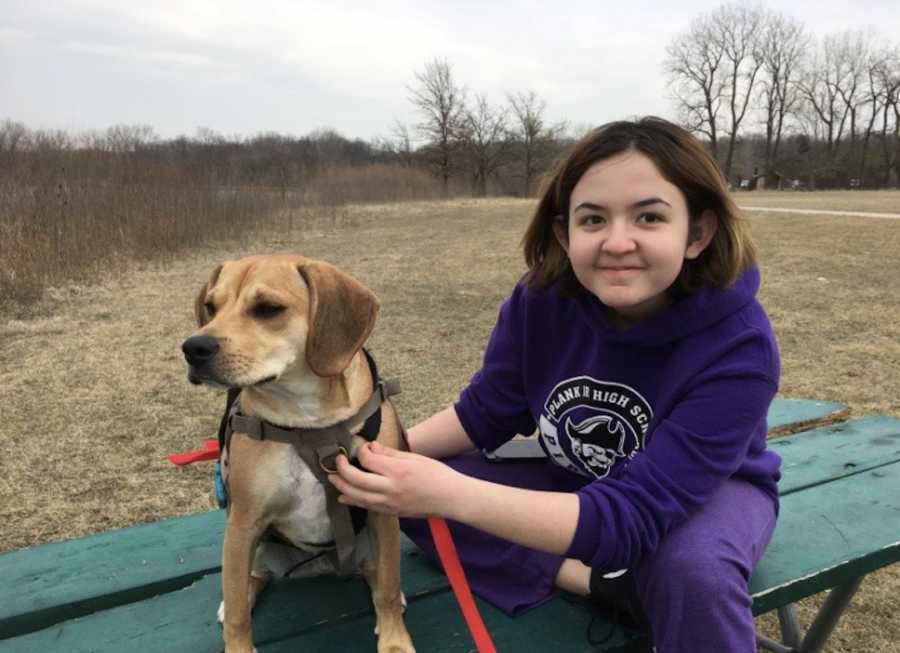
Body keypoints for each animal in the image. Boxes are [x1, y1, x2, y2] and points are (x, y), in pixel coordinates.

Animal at [183, 253, 414, 652]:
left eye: (267, 308)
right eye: (211, 307)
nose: (194, 348)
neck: (307, 420)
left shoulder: (381, 511)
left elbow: (388, 584)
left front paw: (395, 642)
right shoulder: (244, 522)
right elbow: (240, 617)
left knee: (377, 575)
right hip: (254, 547)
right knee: (248, 581)